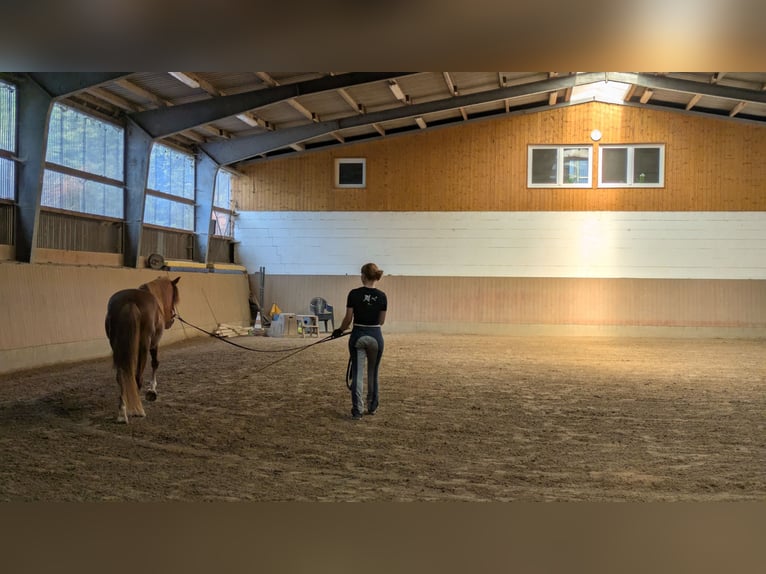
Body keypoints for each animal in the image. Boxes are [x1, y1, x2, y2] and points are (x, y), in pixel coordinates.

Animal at [104, 276, 180, 423]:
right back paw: (136, 410)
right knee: (137, 377)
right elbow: (155, 363)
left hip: (117, 348)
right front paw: (152, 390)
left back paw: (122, 412)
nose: (172, 319)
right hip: (143, 348)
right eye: (174, 297)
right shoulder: (154, 344)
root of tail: (130, 302)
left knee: (121, 376)